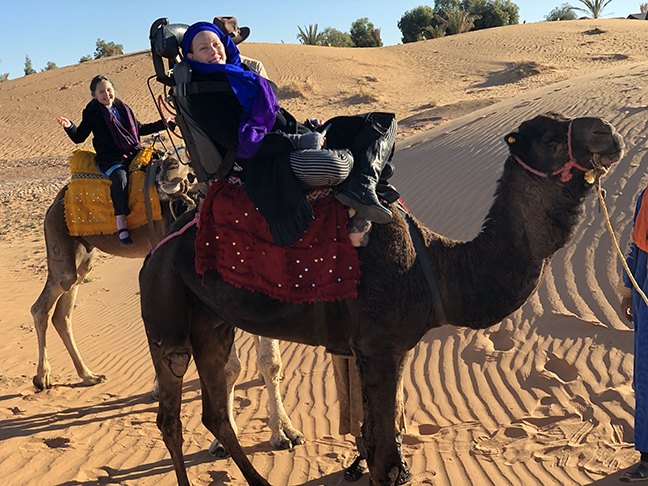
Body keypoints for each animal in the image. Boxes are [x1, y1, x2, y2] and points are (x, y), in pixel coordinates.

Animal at [138, 113, 625, 486]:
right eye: (550, 140)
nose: (608, 133)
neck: (437, 269)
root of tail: (156, 249)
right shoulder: (378, 346)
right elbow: (387, 463)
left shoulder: (394, 348)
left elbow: (379, 447)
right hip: (165, 309)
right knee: (171, 411)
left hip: (212, 322)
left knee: (215, 412)